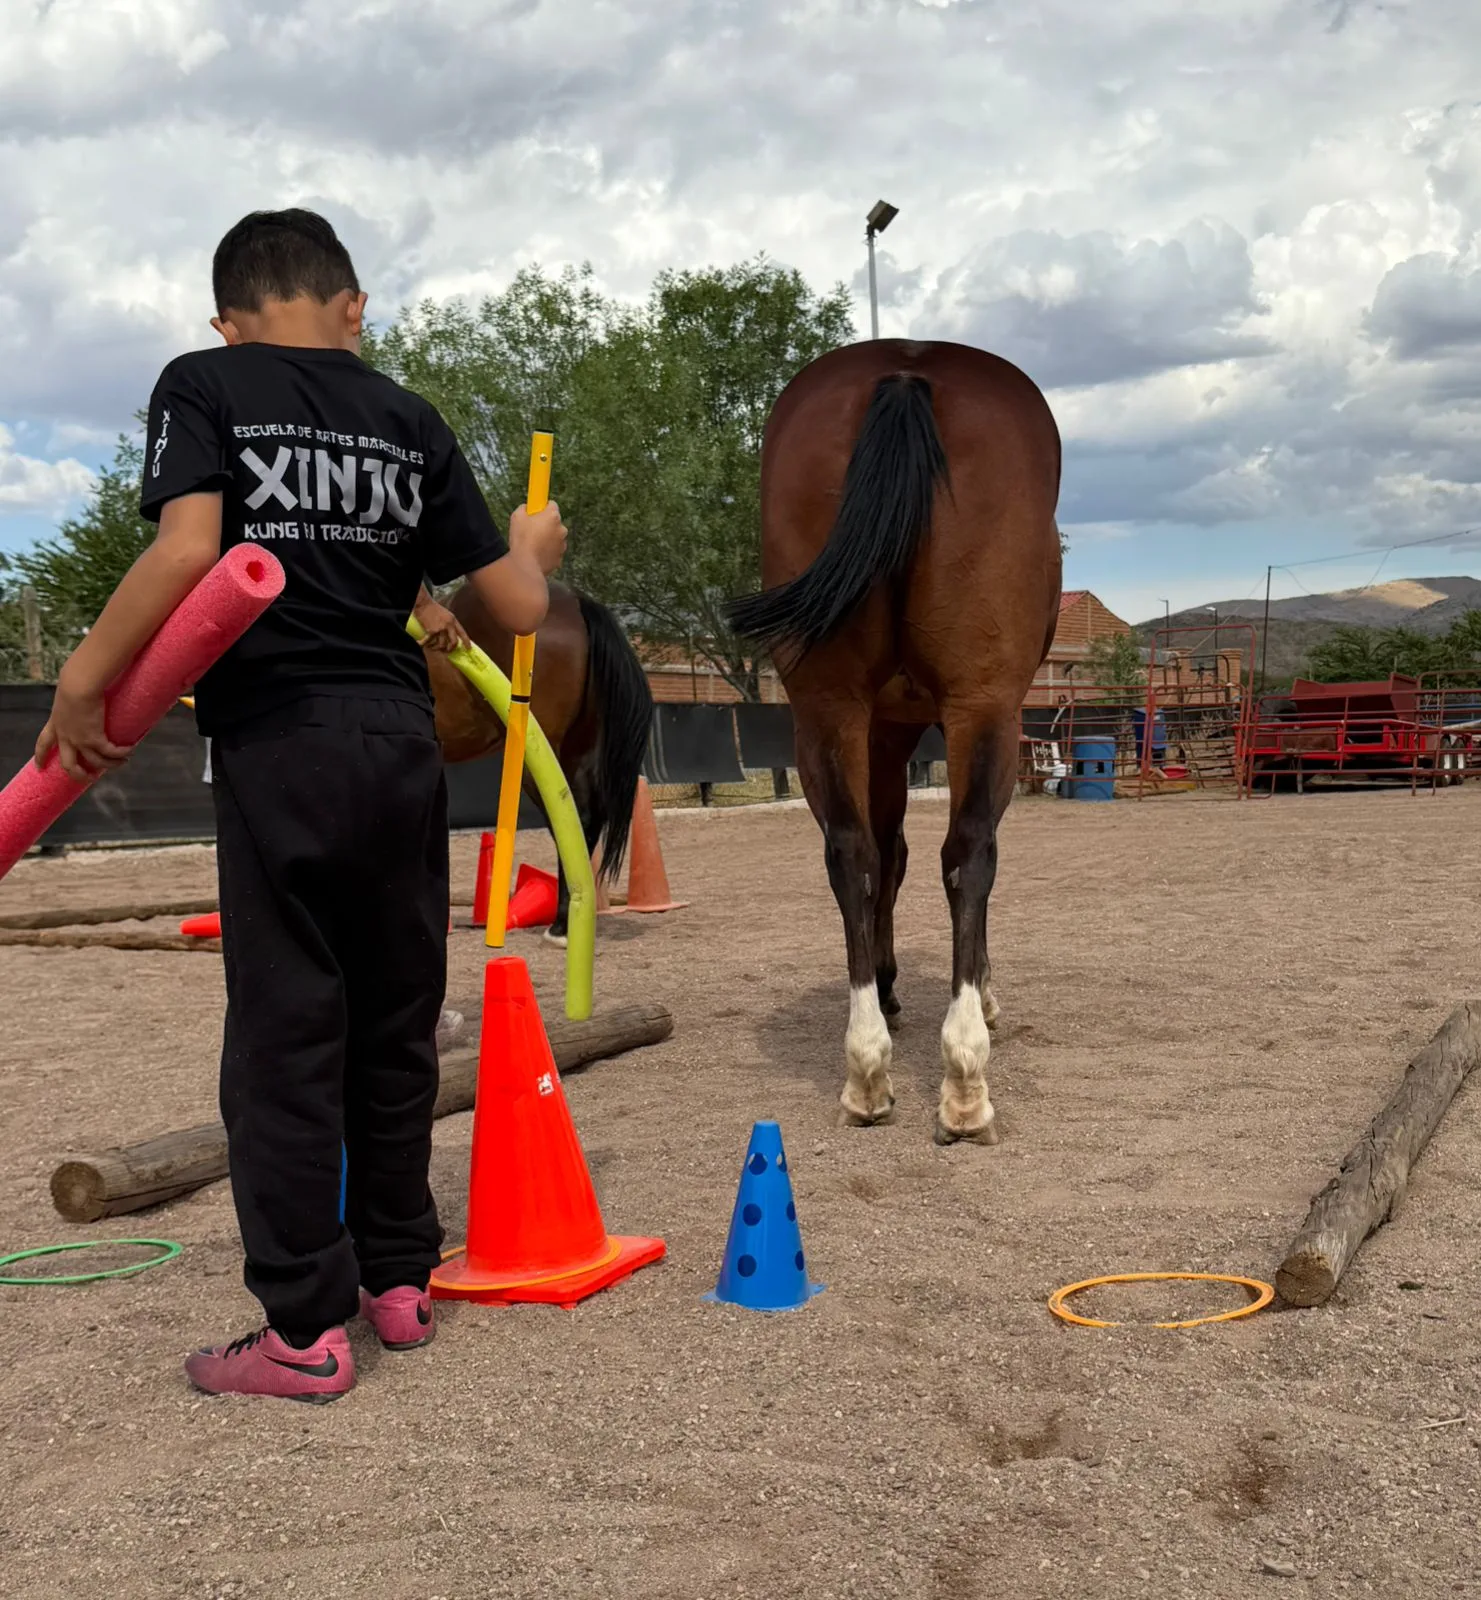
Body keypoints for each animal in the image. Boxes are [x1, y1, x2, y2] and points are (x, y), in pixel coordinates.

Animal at [726, 339, 1062, 1145]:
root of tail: (907, 371)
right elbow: (950, 858)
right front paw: (978, 996)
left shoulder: (881, 729)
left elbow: (886, 855)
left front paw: (883, 987)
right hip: (982, 706)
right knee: (969, 853)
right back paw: (965, 1079)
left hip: (826, 710)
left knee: (852, 855)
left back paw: (866, 1070)